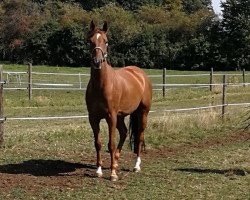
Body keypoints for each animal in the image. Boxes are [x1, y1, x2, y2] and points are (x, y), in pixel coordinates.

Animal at [86, 20, 152, 181]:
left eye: (106, 41)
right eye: (90, 41)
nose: (97, 62)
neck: (102, 85)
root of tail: (140, 74)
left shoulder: (111, 117)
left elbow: (111, 144)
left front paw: (113, 174)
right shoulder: (93, 118)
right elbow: (98, 143)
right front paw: (99, 170)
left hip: (142, 113)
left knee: (139, 137)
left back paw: (136, 166)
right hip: (121, 116)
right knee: (124, 133)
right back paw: (115, 161)